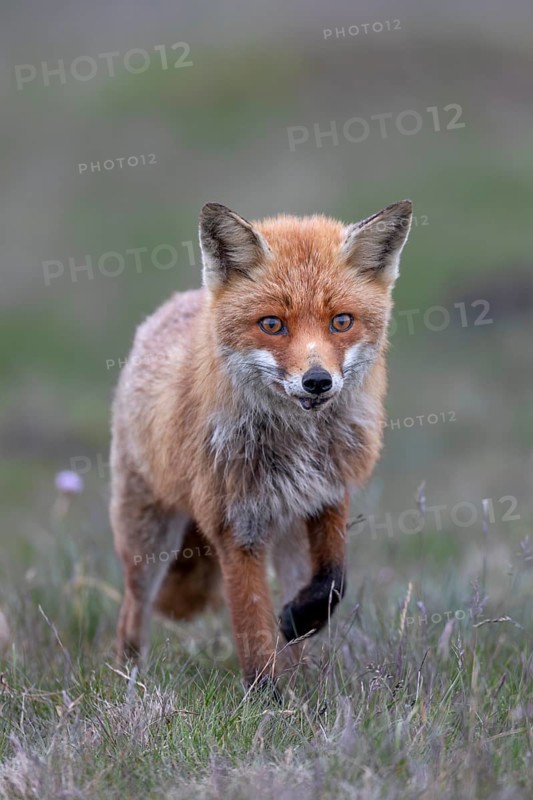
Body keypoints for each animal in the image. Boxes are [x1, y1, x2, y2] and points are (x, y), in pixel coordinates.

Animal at [110, 199, 412, 690]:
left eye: (341, 322)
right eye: (272, 324)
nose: (317, 381)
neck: (298, 446)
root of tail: (179, 301)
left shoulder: (327, 498)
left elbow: (333, 582)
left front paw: (299, 624)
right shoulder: (236, 524)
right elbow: (251, 622)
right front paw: (267, 697)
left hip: (288, 537)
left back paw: (303, 665)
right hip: (146, 539)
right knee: (132, 612)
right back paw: (129, 678)